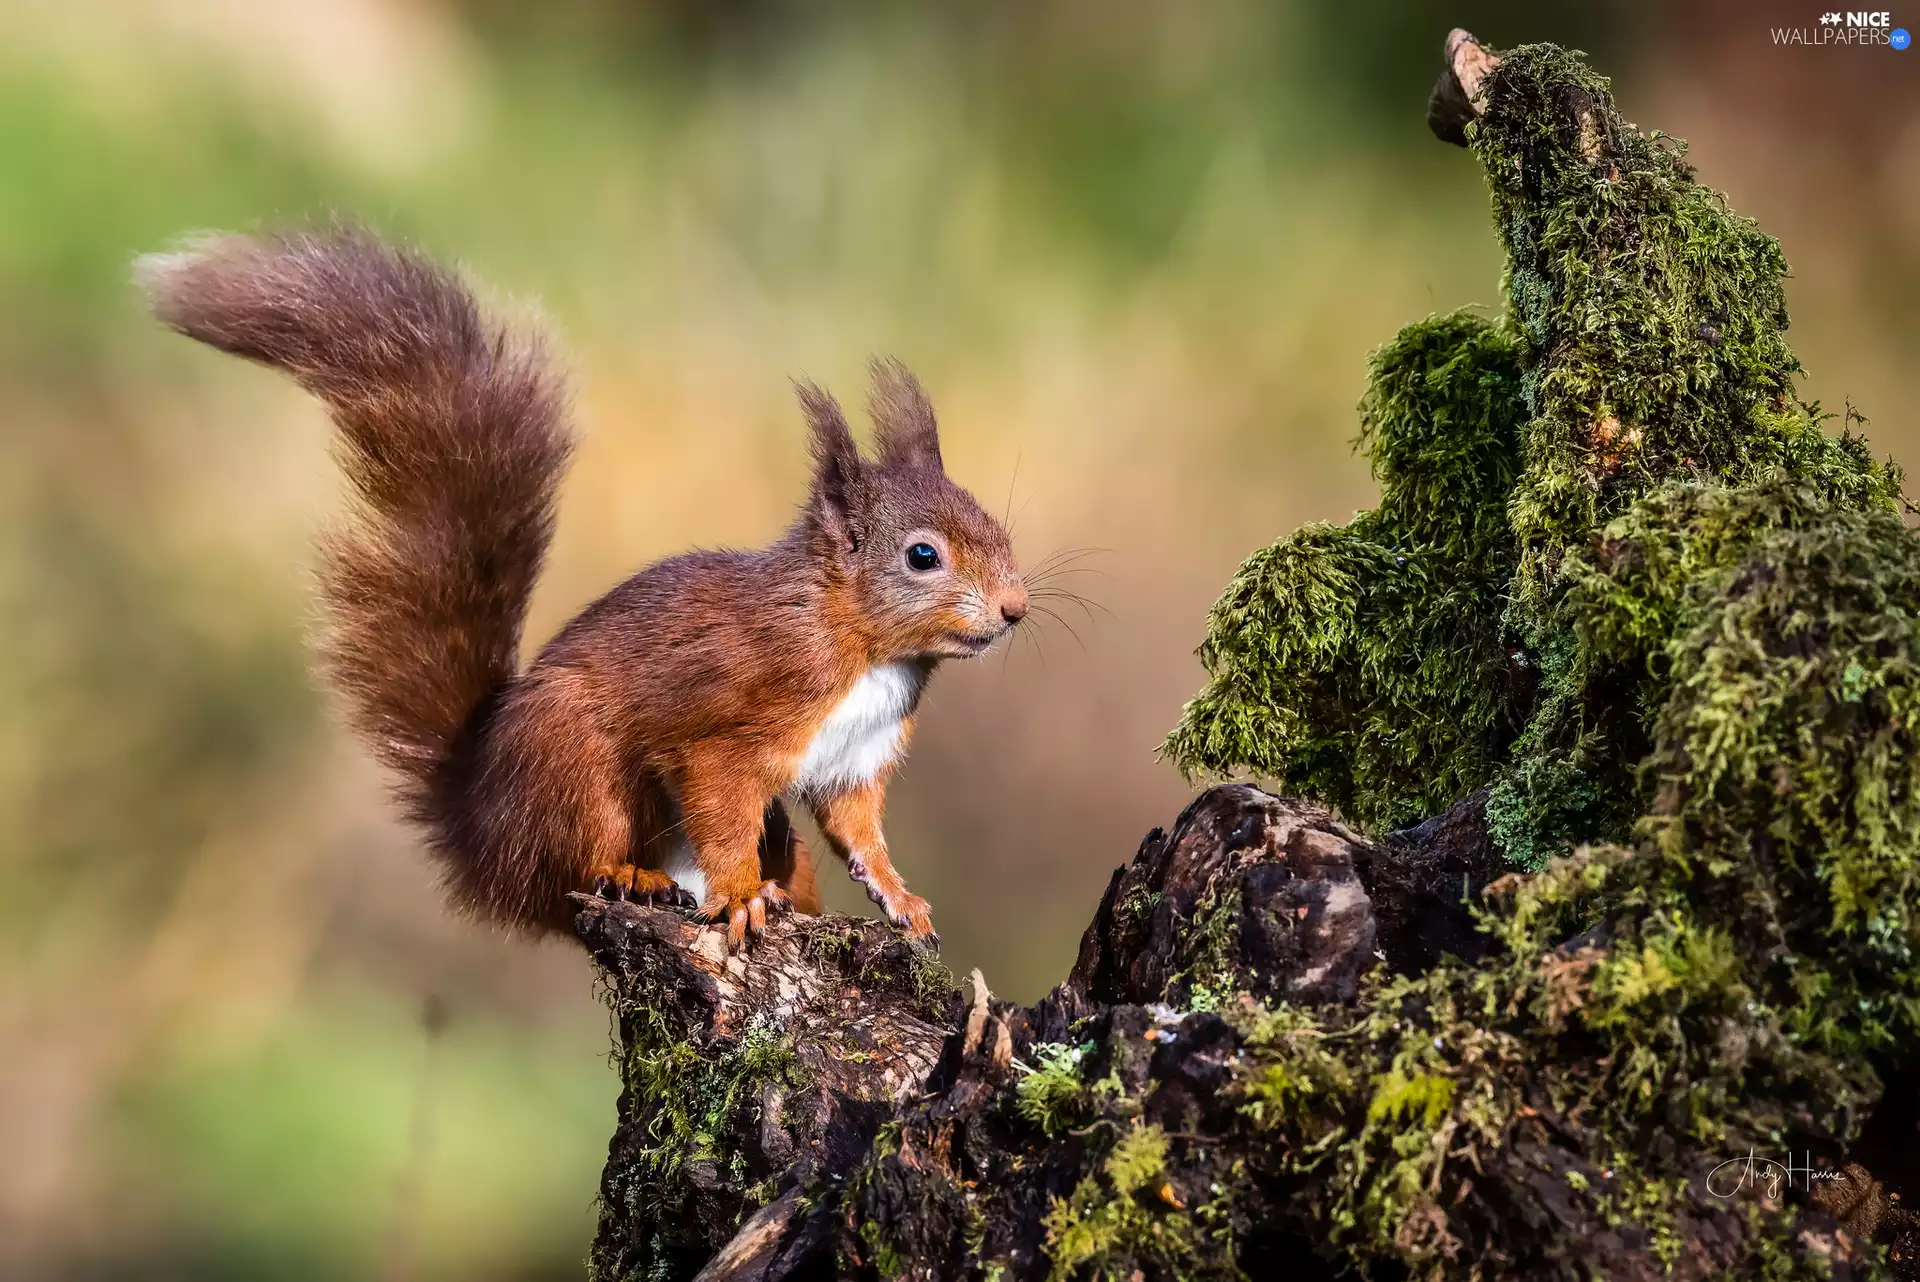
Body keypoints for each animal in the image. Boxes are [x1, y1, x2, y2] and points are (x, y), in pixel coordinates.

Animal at [138, 226, 1027, 948]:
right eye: (922, 556)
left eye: (998, 527)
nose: (1015, 610)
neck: (865, 646)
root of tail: (483, 837)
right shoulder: (733, 724)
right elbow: (721, 807)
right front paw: (741, 895)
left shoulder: (855, 758)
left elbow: (859, 834)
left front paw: (902, 900)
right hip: (573, 763)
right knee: (576, 867)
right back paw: (638, 876)